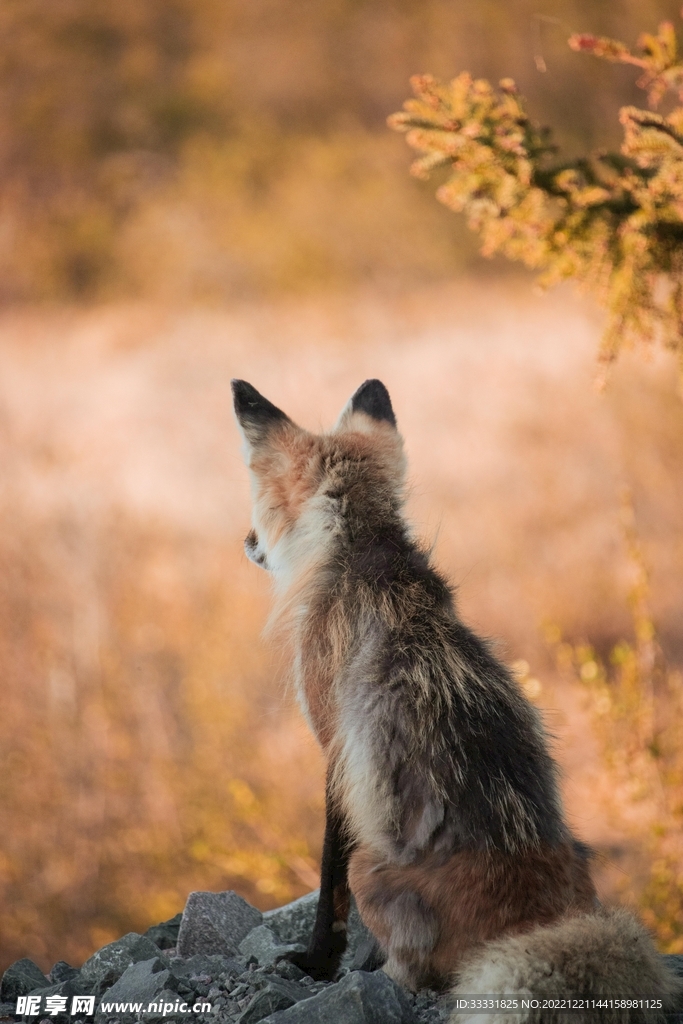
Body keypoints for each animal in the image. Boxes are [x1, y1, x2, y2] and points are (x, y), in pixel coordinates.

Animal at [232, 380, 679, 1019]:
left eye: (260, 497)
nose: (244, 541)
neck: (365, 555)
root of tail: (540, 921)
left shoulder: (334, 752)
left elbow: (328, 890)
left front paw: (318, 963)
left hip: (371, 866)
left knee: (415, 970)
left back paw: (380, 975)